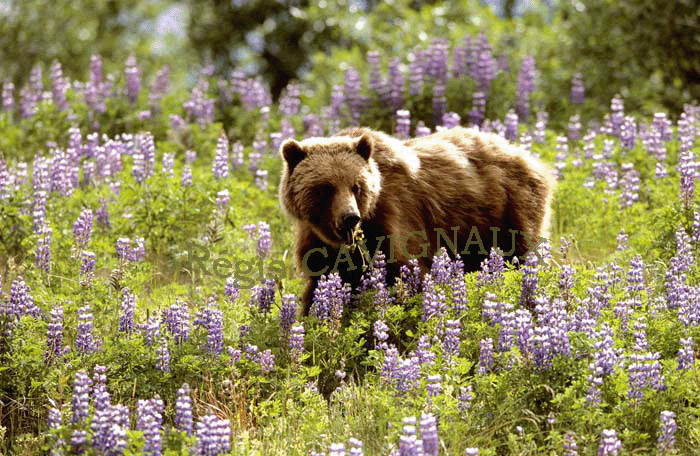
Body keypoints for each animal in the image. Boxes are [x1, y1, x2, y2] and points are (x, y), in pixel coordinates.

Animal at [278, 126, 556, 316]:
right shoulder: (319, 245)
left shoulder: (396, 217)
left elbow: (407, 273)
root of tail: (532, 159)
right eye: (325, 188)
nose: (350, 218)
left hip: (510, 212)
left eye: (356, 186)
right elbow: (318, 287)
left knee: (522, 257)